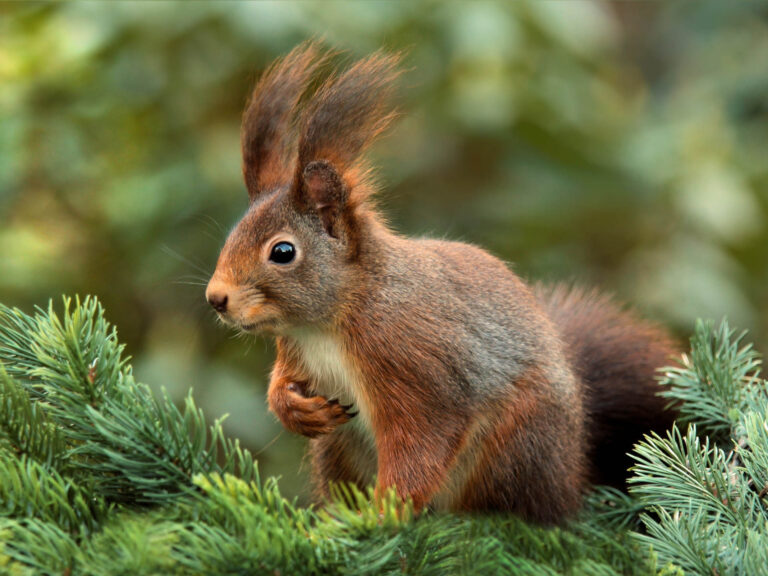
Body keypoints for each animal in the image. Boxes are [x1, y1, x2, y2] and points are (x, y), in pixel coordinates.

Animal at [206, 42, 680, 524]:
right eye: (232, 235)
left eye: (283, 252)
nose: (216, 298)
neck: (330, 321)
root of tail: (571, 473)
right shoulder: (296, 351)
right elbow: (281, 383)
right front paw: (295, 409)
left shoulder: (414, 364)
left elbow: (421, 443)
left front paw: (383, 516)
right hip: (338, 449)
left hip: (515, 443)